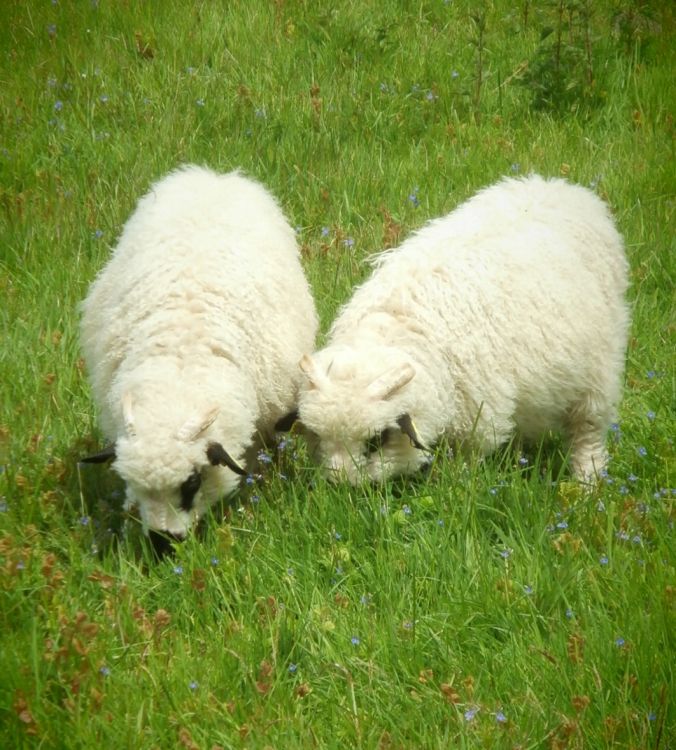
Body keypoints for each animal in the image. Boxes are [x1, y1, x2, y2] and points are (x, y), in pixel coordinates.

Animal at [280, 173, 628, 484]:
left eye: (376, 440)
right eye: (316, 437)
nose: (340, 488)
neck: (400, 327)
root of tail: (565, 188)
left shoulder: (477, 420)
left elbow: (467, 463)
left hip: (598, 368)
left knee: (589, 429)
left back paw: (587, 481)